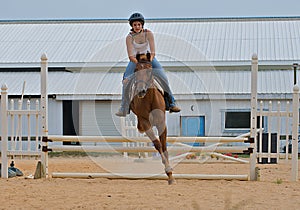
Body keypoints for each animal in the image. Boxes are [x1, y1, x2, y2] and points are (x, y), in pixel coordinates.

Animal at [129, 53, 176, 185]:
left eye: (150, 70)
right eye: (136, 70)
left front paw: (170, 175)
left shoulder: (161, 123)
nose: (141, 91)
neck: (149, 99)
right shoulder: (145, 123)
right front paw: (168, 170)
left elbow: (164, 146)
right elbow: (157, 144)